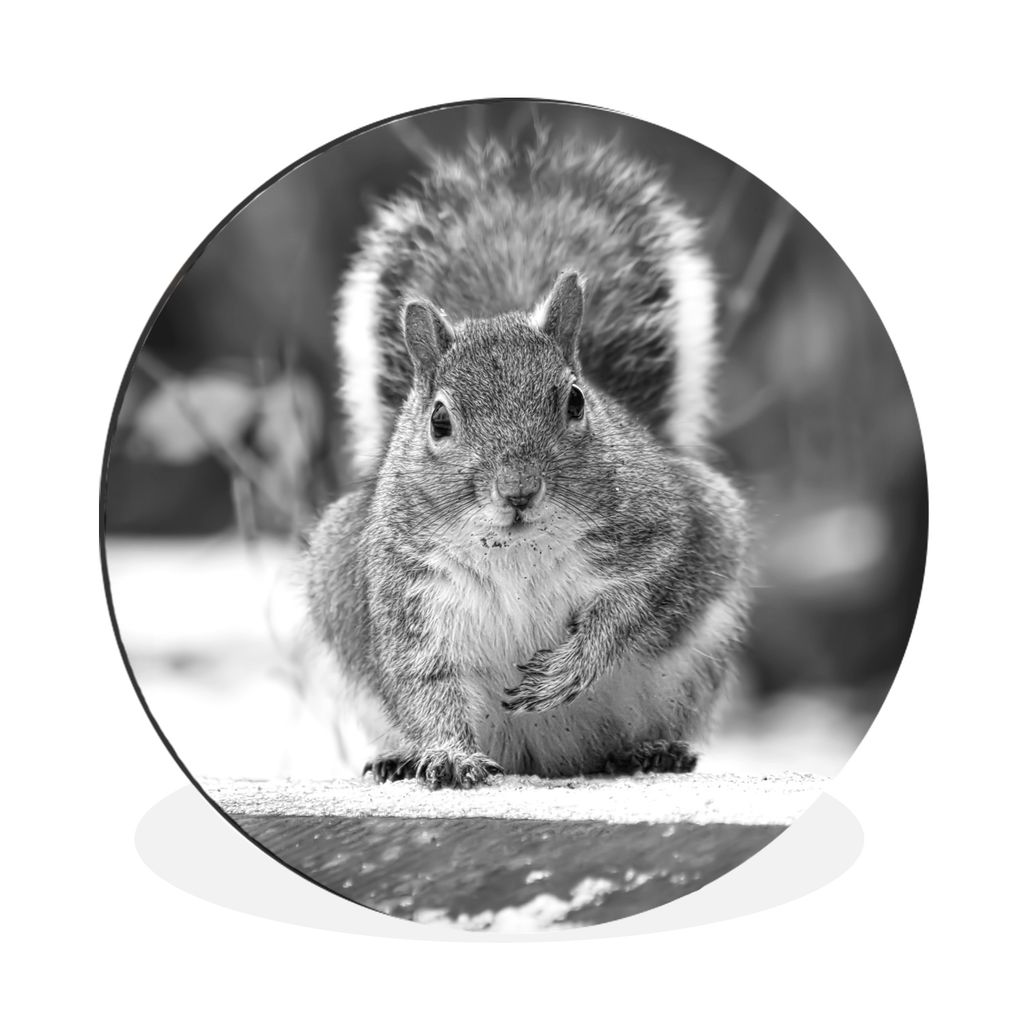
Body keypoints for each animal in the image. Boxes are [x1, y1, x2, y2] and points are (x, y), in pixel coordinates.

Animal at [305, 129, 750, 788]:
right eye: (439, 421)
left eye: (575, 400)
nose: (518, 491)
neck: (516, 549)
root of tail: (543, 761)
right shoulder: (407, 591)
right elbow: (423, 681)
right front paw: (449, 754)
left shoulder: (663, 530)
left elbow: (633, 606)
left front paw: (570, 667)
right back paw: (399, 758)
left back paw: (650, 750)